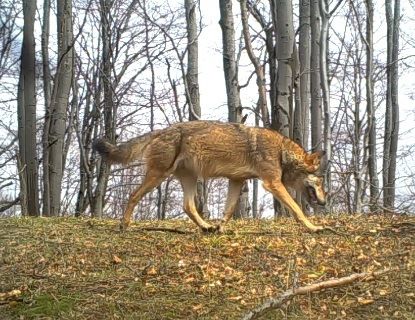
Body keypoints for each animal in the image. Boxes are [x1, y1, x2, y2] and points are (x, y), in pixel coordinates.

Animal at [94, 120, 328, 232]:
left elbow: (229, 211)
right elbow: (297, 209)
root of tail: (161, 130)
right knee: (133, 195)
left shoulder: (237, 181)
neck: (281, 152)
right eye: (320, 181)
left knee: (187, 206)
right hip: (158, 176)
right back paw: (124, 225)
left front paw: (220, 228)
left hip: (189, 179)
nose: (325, 202)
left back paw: (206, 227)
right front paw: (313, 227)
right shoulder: (272, 184)